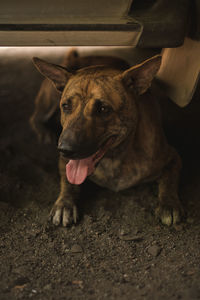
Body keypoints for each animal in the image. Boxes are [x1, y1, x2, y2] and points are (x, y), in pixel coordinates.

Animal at [32, 50, 184, 226]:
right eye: (66, 106)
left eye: (103, 109)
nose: (65, 149)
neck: (115, 158)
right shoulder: (65, 163)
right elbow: (68, 182)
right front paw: (64, 204)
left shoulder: (173, 157)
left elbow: (169, 180)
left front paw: (169, 203)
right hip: (48, 101)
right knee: (34, 117)